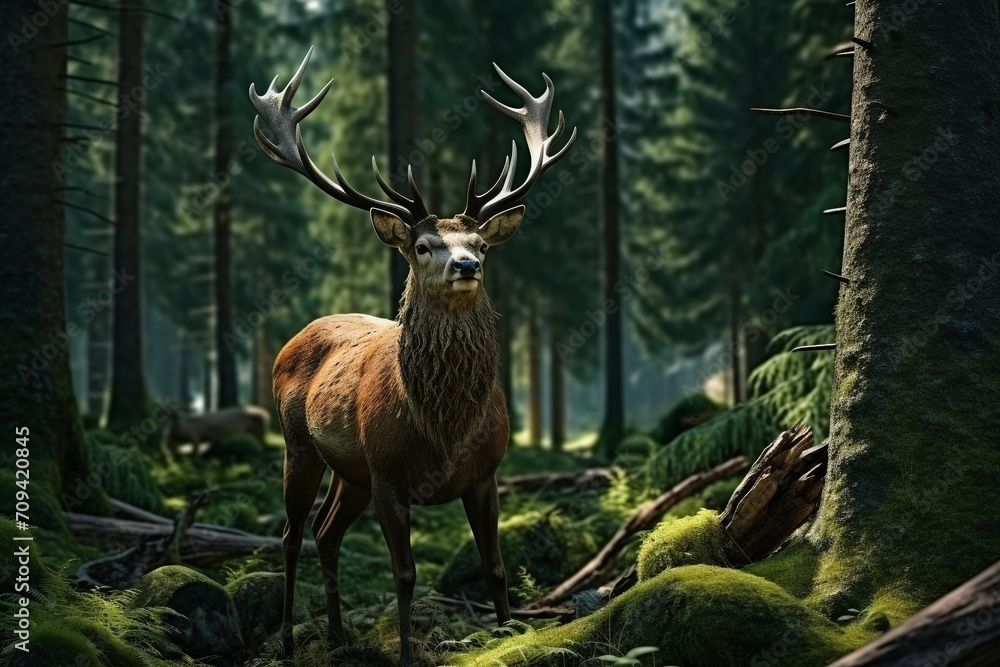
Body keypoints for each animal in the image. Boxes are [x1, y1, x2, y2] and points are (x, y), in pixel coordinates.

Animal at [250, 48, 575, 667]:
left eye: (480, 244)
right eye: (423, 246)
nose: (466, 266)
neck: (443, 427)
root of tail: (295, 338)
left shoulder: (485, 474)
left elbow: (496, 566)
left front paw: (507, 634)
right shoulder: (389, 475)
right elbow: (404, 574)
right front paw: (404, 652)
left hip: (350, 471)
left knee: (327, 532)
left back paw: (338, 637)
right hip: (300, 443)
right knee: (291, 534)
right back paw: (287, 640)